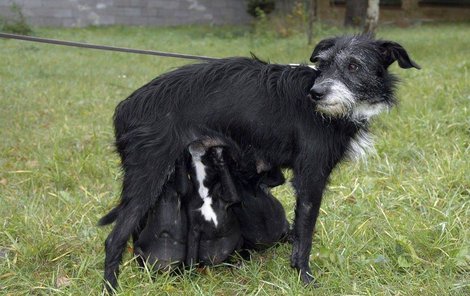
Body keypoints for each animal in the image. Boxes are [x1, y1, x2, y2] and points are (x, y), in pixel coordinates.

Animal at [102, 34, 418, 290]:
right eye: (323, 65)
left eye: (353, 65)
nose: (316, 93)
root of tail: (126, 107)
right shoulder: (310, 179)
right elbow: (305, 235)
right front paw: (304, 278)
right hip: (148, 175)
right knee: (114, 239)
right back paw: (111, 286)